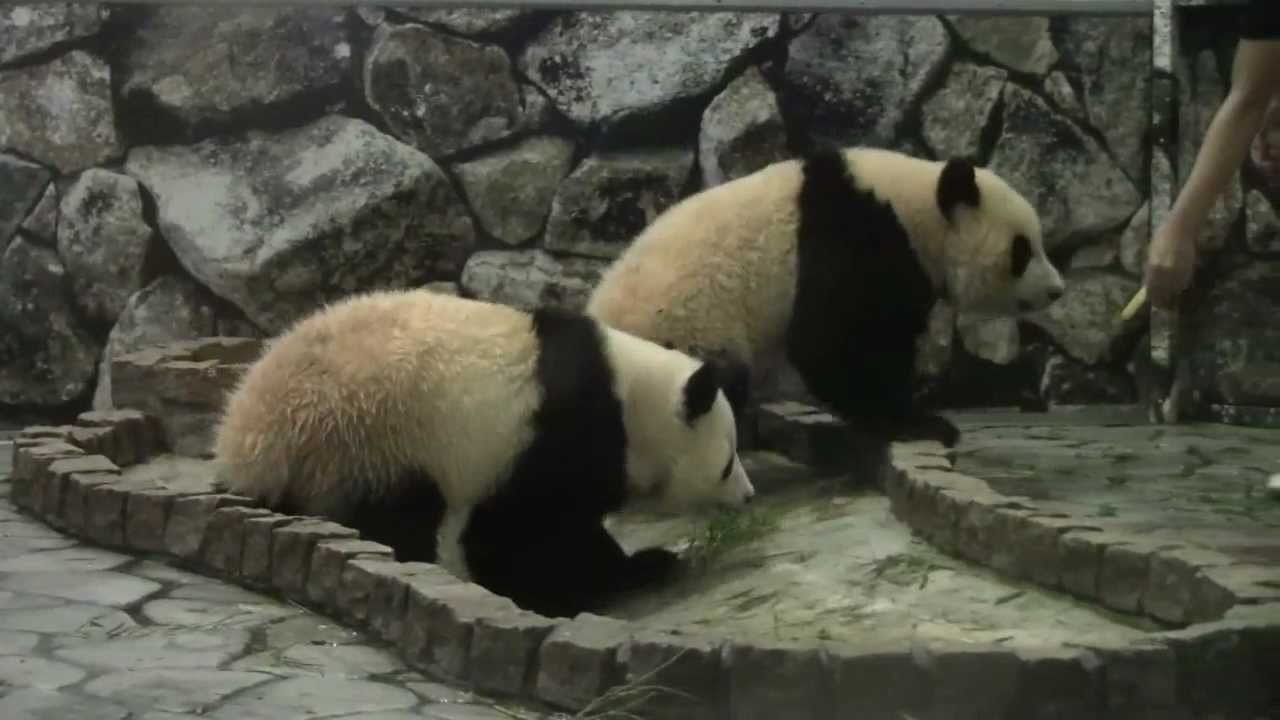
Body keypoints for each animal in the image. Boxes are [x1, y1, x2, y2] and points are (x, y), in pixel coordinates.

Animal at [207, 288, 747, 614]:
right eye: (725, 464)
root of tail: (241, 442)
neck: (630, 398)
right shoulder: (554, 436)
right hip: (360, 440)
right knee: (395, 517)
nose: (747, 496)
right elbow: (532, 532)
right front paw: (627, 572)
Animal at [586, 147, 1064, 453]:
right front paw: (916, 422)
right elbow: (833, 340)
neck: (915, 206)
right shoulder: (854, 237)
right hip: (685, 332)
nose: (1057, 289)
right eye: (1023, 249)